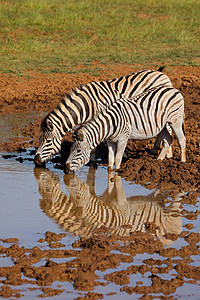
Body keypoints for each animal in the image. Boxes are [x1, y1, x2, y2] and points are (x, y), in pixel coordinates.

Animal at [33, 67, 173, 168]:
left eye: (48, 141)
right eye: (39, 141)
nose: (36, 161)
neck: (86, 105)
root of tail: (161, 73)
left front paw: (92, 159)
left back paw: (168, 155)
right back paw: (155, 149)